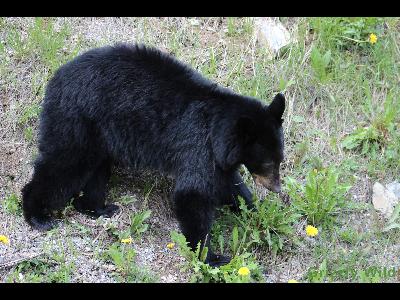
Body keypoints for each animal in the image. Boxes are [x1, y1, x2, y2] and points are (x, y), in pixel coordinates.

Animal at [21, 43, 284, 266]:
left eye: (279, 160)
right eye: (267, 162)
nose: (277, 187)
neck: (217, 131)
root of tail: (55, 78)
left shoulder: (217, 159)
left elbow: (230, 186)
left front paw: (261, 216)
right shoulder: (197, 147)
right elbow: (193, 194)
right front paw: (211, 257)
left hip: (99, 134)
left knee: (95, 171)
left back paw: (97, 208)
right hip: (77, 120)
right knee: (64, 165)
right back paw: (37, 215)